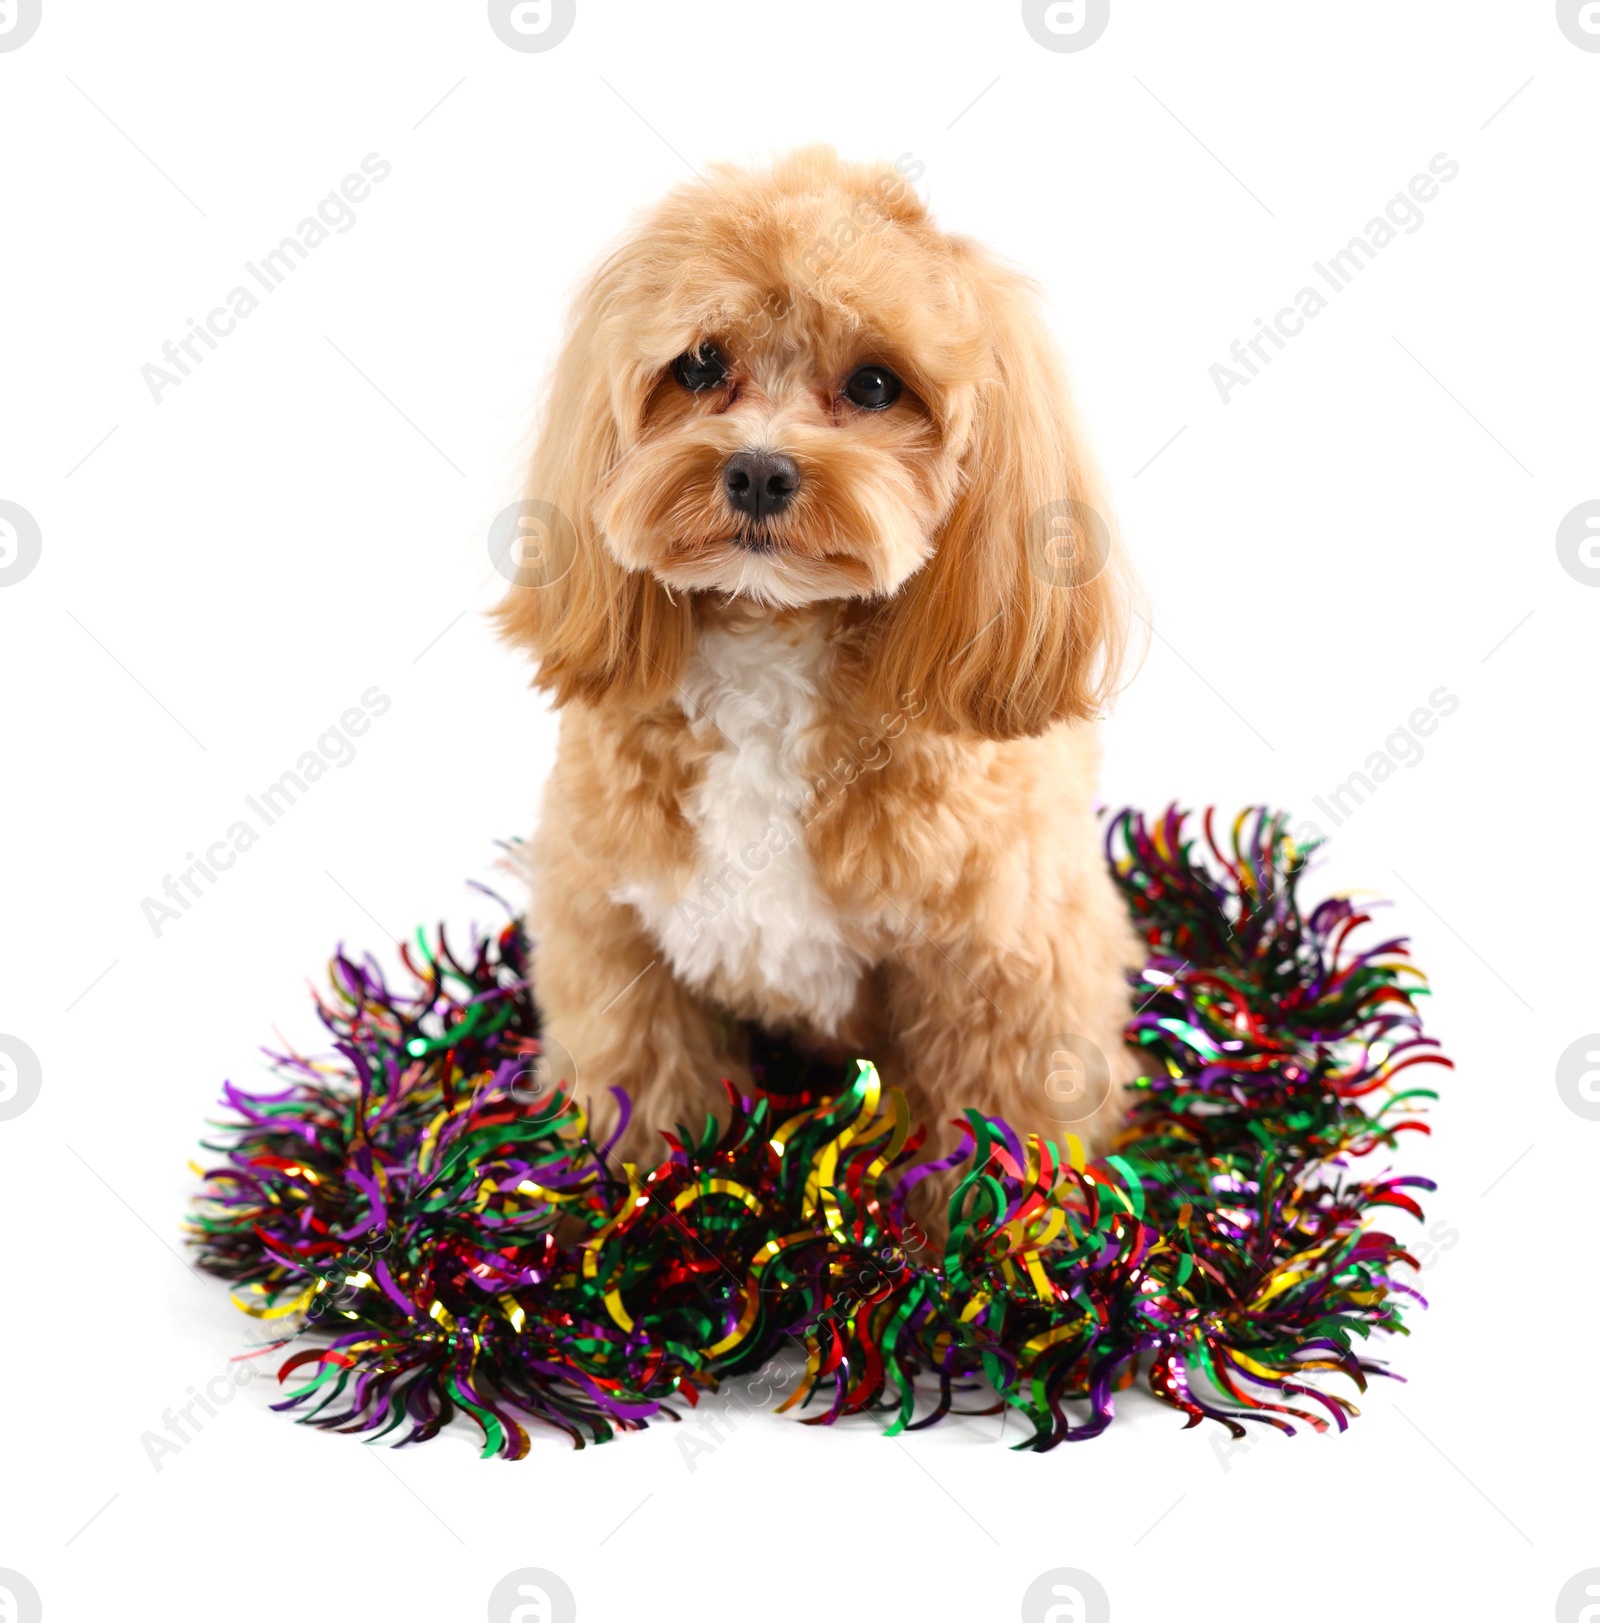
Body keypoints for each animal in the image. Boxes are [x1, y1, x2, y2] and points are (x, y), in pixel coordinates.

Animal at [496, 152, 1135, 1194]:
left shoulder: (1007, 972)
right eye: (701, 363)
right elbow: (641, 1105)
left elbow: (1003, 1144)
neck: (771, 641)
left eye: (876, 384)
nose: (758, 471)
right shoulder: (613, 937)